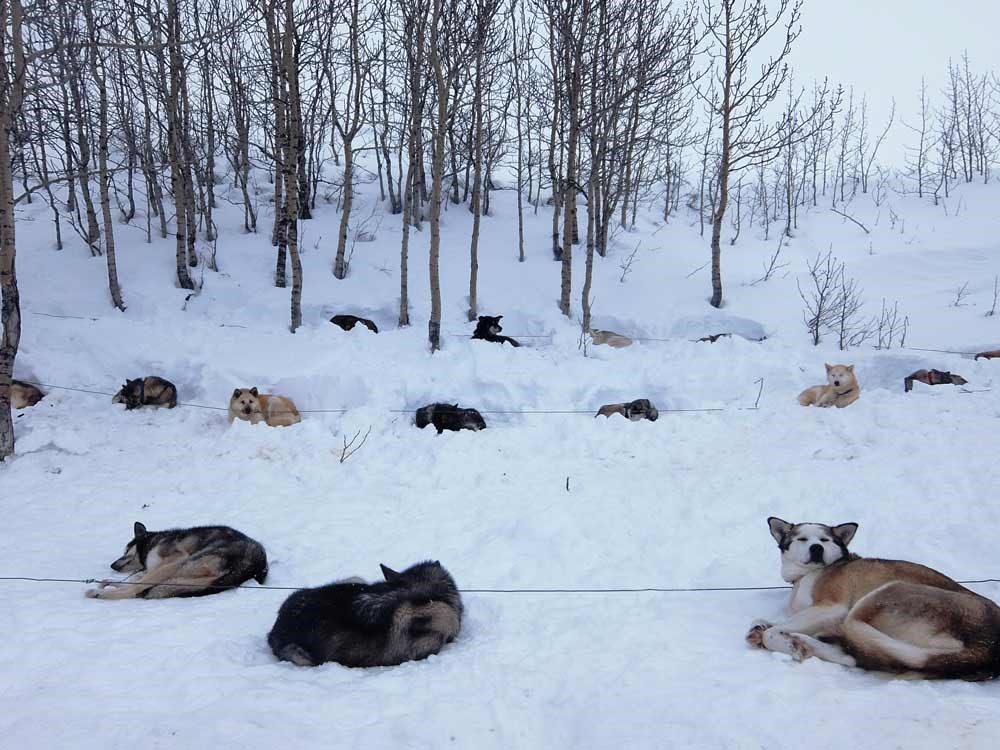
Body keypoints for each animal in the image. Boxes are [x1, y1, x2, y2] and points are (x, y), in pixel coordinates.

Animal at [87, 524, 270, 604]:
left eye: (125, 551)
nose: (112, 565)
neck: (154, 541)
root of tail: (254, 564)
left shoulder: (171, 561)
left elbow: (138, 582)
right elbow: (137, 578)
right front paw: (109, 582)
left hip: (188, 561)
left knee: (137, 590)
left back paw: (101, 594)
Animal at [748, 516, 1000, 680]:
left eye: (824, 540)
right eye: (802, 539)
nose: (817, 548)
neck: (807, 574)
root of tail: (987, 647)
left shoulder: (832, 607)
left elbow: (773, 632)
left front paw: (785, 642)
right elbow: (765, 622)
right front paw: (761, 628)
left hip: (880, 595)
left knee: (855, 649)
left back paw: (803, 641)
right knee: (856, 656)